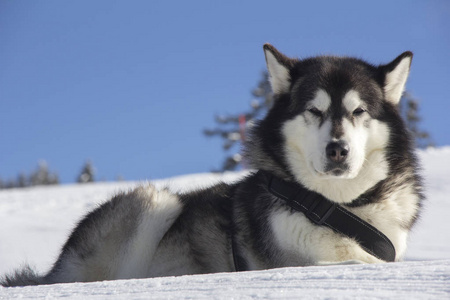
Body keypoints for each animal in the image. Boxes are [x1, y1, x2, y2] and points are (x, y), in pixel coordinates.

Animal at [0, 44, 422, 286]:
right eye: (314, 111)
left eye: (358, 111)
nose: (338, 150)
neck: (334, 206)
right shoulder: (294, 261)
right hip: (155, 201)